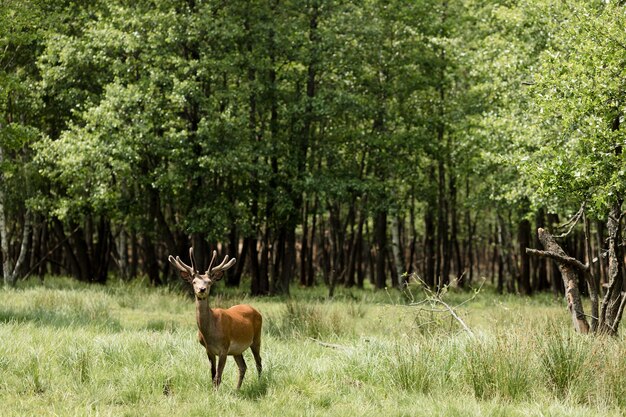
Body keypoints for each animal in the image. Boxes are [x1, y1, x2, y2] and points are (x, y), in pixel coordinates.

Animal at [167, 245, 262, 388]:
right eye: (194, 281)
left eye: (209, 282)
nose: (202, 289)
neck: (210, 334)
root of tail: (256, 311)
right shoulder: (209, 350)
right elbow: (212, 376)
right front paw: (213, 391)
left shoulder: (224, 348)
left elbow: (218, 377)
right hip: (237, 350)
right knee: (243, 366)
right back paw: (237, 389)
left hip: (256, 338)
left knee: (258, 362)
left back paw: (261, 383)